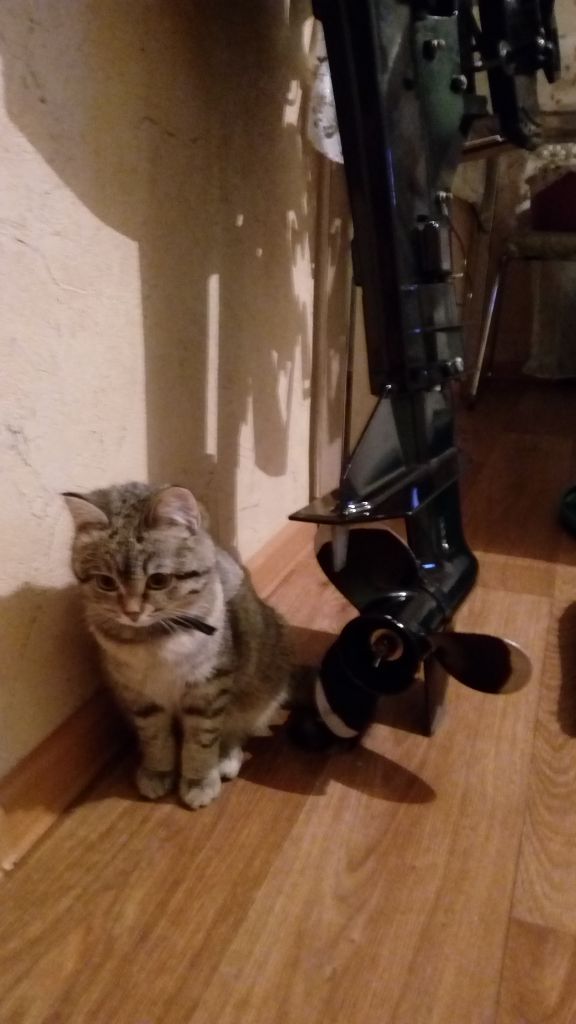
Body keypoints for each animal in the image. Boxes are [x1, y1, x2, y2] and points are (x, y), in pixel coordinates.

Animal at [63, 482, 293, 809]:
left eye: (158, 580)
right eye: (106, 583)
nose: (132, 612)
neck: (154, 637)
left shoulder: (208, 688)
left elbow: (201, 741)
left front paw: (199, 781)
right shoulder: (138, 695)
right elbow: (155, 738)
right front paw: (158, 772)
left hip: (259, 686)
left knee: (237, 727)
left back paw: (226, 757)